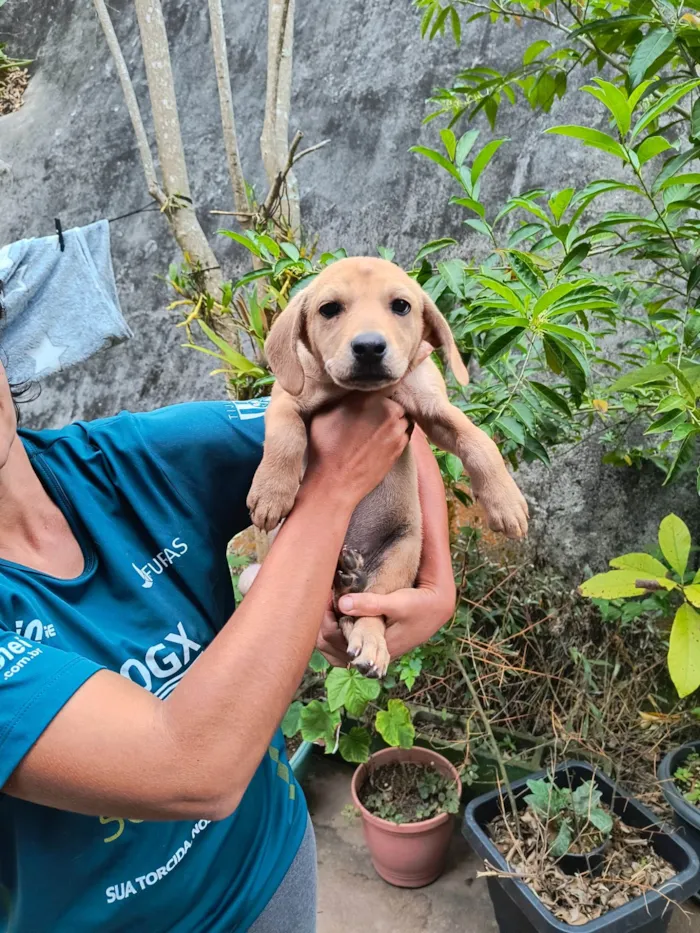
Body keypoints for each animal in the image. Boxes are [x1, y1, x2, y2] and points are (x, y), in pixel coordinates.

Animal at [249, 258, 528, 672]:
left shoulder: (432, 407)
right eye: (329, 309)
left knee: (365, 610)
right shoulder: (286, 398)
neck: (356, 393)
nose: (369, 347)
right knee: (342, 610)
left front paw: (506, 503)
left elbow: (478, 441)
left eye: (401, 306)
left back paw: (363, 619)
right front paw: (270, 492)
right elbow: (286, 437)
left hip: (401, 553)